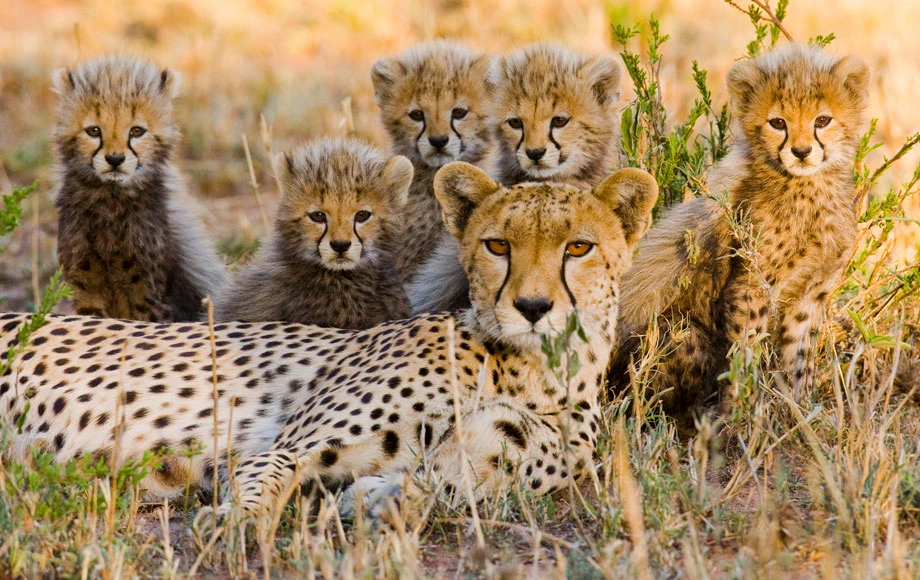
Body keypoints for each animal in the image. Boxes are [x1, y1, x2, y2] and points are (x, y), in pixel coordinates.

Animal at [0, 163, 658, 525]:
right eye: (498, 245)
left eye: (578, 247)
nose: (533, 308)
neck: (536, 368)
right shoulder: (278, 449)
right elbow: (264, 480)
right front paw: (232, 522)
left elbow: (435, 485)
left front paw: (375, 503)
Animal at [52, 54, 226, 322]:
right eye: (94, 131)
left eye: (136, 131)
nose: (115, 159)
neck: (110, 201)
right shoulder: (86, 287)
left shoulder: (146, 292)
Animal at [609, 44, 869, 424]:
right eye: (778, 123)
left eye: (823, 120)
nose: (802, 152)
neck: (807, 188)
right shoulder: (751, 287)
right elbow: (746, 351)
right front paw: (741, 415)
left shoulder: (811, 293)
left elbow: (799, 354)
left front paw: (798, 410)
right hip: (678, 333)